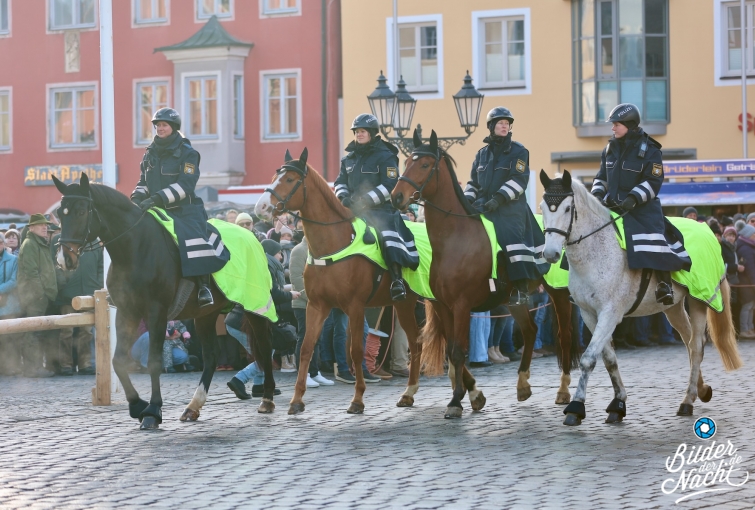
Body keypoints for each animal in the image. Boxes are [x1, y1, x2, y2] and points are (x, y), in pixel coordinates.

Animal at [52, 173, 277, 430]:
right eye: (60, 213)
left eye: (81, 211)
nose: (64, 258)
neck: (135, 248)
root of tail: (252, 237)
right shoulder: (127, 312)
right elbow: (118, 361)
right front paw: (136, 405)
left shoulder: (156, 312)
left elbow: (154, 361)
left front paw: (153, 410)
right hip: (205, 315)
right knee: (211, 356)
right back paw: (193, 406)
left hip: (254, 308)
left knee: (264, 347)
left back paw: (267, 399)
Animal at [254, 148, 425, 415]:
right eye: (275, 176)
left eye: (290, 179)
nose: (261, 206)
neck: (334, 244)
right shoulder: (317, 306)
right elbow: (306, 348)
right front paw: (297, 400)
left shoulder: (355, 307)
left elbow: (355, 351)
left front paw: (357, 399)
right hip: (404, 305)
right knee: (417, 343)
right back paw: (409, 393)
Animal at [391, 130, 578, 419]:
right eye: (406, 160)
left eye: (424, 164)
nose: (396, 197)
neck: (455, 239)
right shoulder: (443, 305)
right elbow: (452, 349)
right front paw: (472, 395)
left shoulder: (461, 305)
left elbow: (458, 352)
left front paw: (457, 401)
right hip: (515, 302)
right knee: (531, 330)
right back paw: (522, 384)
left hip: (558, 293)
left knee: (564, 337)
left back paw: (563, 391)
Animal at [539, 170, 742, 426]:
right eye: (542, 208)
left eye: (567, 208)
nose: (550, 254)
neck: (597, 253)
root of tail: (706, 229)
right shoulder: (589, 314)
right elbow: (609, 358)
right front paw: (618, 404)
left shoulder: (610, 313)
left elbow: (588, 359)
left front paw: (576, 408)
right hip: (673, 308)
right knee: (689, 343)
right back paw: (701, 390)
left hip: (699, 301)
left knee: (696, 346)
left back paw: (687, 401)